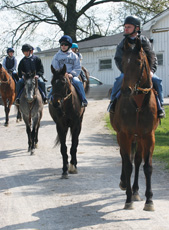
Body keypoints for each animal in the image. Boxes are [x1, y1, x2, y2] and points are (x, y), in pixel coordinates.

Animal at [110, 38, 159, 212]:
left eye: (138, 62)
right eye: (123, 62)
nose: (126, 90)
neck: (137, 103)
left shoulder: (148, 136)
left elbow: (147, 167)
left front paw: (149, 200)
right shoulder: (125, 135)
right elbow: (127, 165)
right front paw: (128, 199)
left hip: (139, 138)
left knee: (137, 160)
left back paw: (137, 191)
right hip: (126, 137)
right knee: (126, 159)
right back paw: (125, 184)